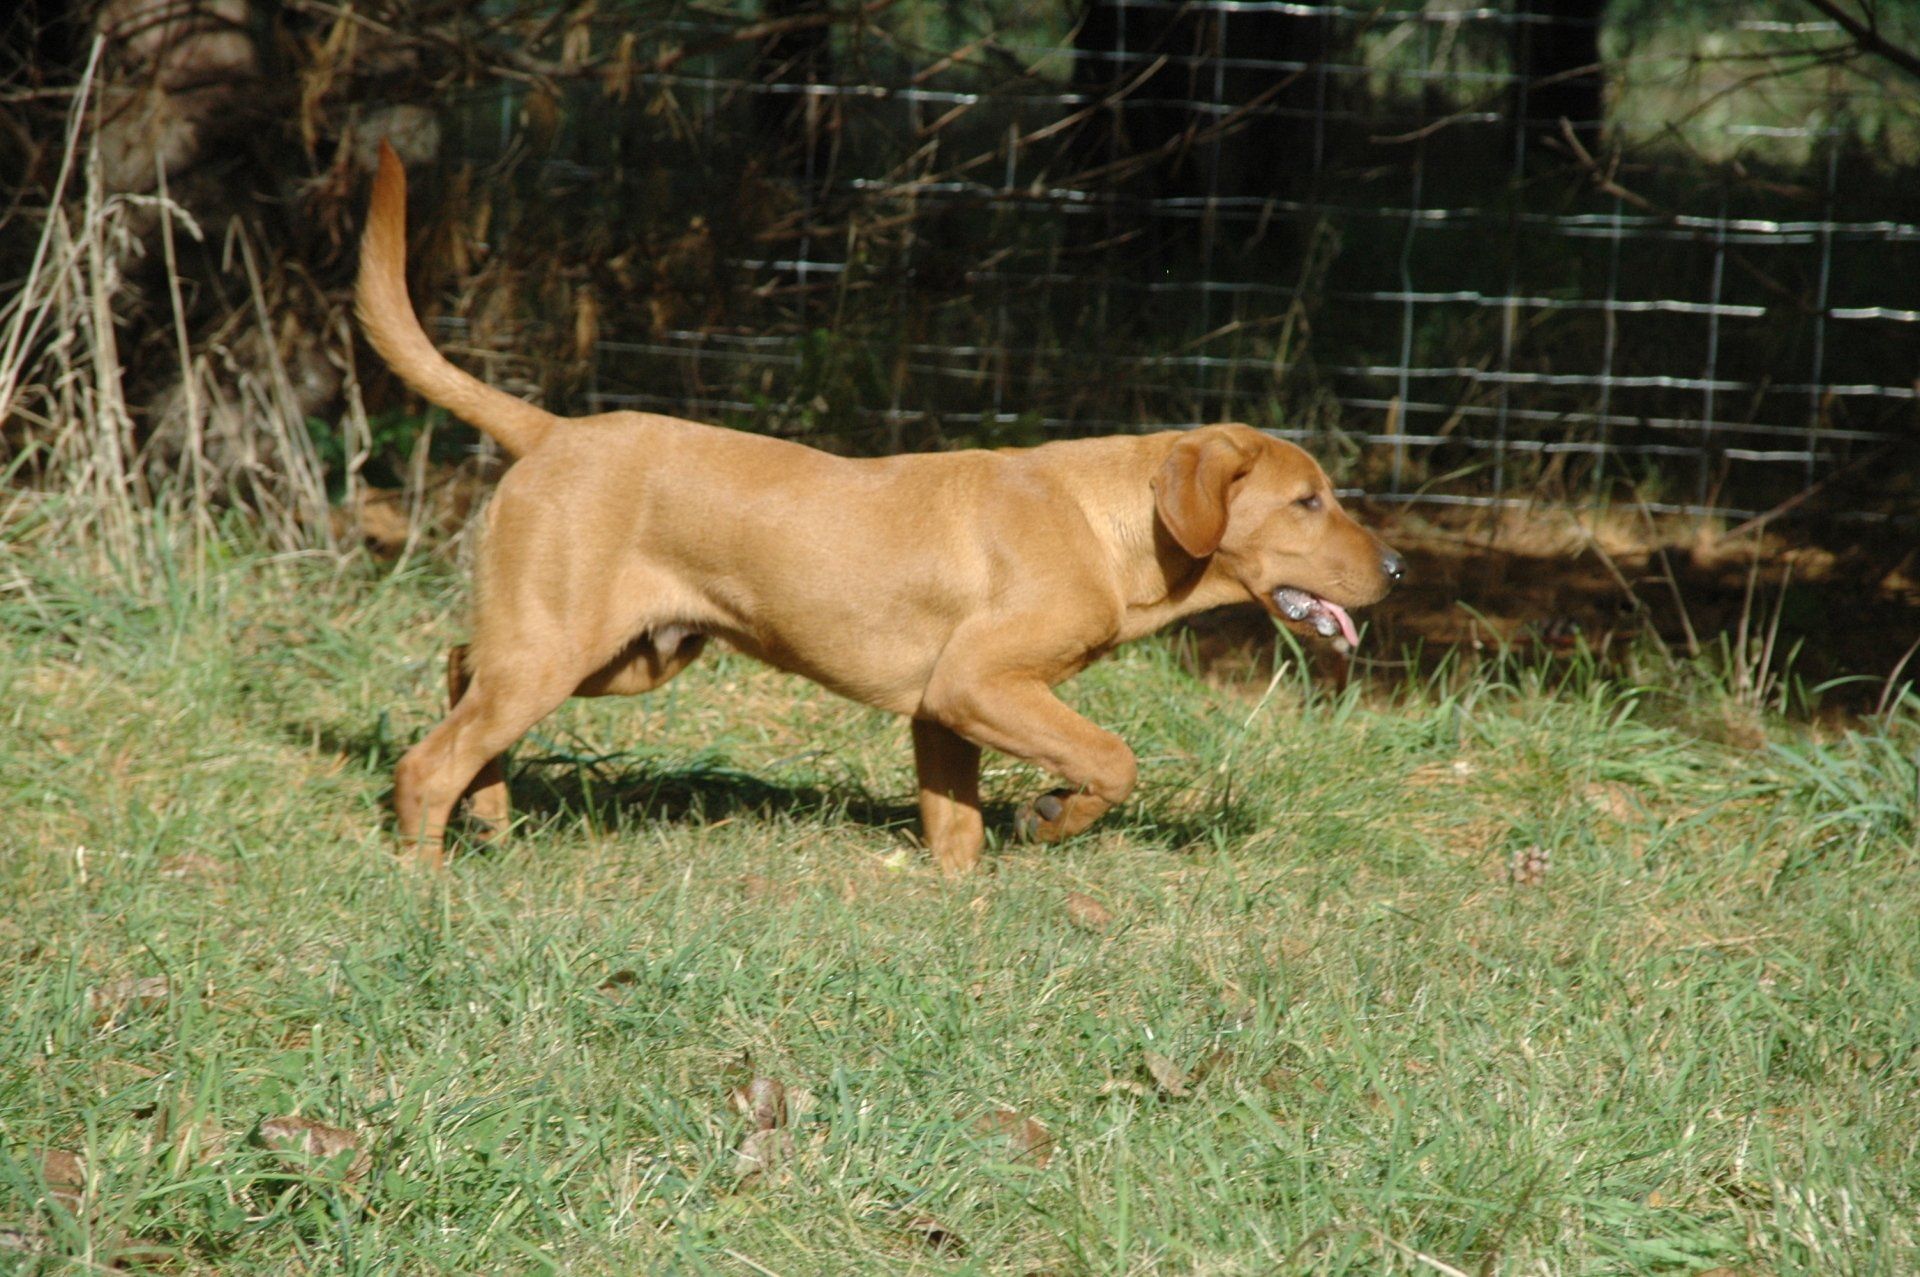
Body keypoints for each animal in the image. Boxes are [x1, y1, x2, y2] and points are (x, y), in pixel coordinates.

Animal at [353, 144, 1405, 871]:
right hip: (560, 647)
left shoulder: (942, 708)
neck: (1106, 523)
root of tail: (551, 430)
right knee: (427, 760)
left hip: (622, 653)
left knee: (461, 672)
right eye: (1309, 500)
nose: (1399, 570)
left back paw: (491, 812)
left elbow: (955, 826)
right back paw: (429, 873)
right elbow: (1111, 759)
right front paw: (1052, 817)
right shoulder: (981, 682)